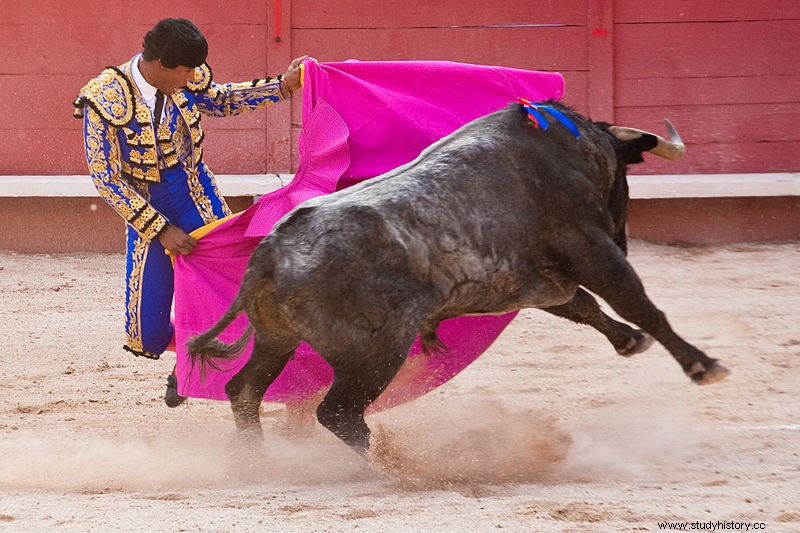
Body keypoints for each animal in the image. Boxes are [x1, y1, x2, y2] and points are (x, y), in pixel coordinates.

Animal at [188, 102, 732, 456]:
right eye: (624, 173)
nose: (625, 232)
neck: (572, 150)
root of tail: (269, 253)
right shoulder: (592, 249)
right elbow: (637, 302)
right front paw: (703, 365)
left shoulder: (535, 281)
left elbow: (583, 306)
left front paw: (629, 342)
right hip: (376, 354)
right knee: (337, 413)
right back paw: (389, 467)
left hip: (276, 339)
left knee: (244, 391)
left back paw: (257, 458)